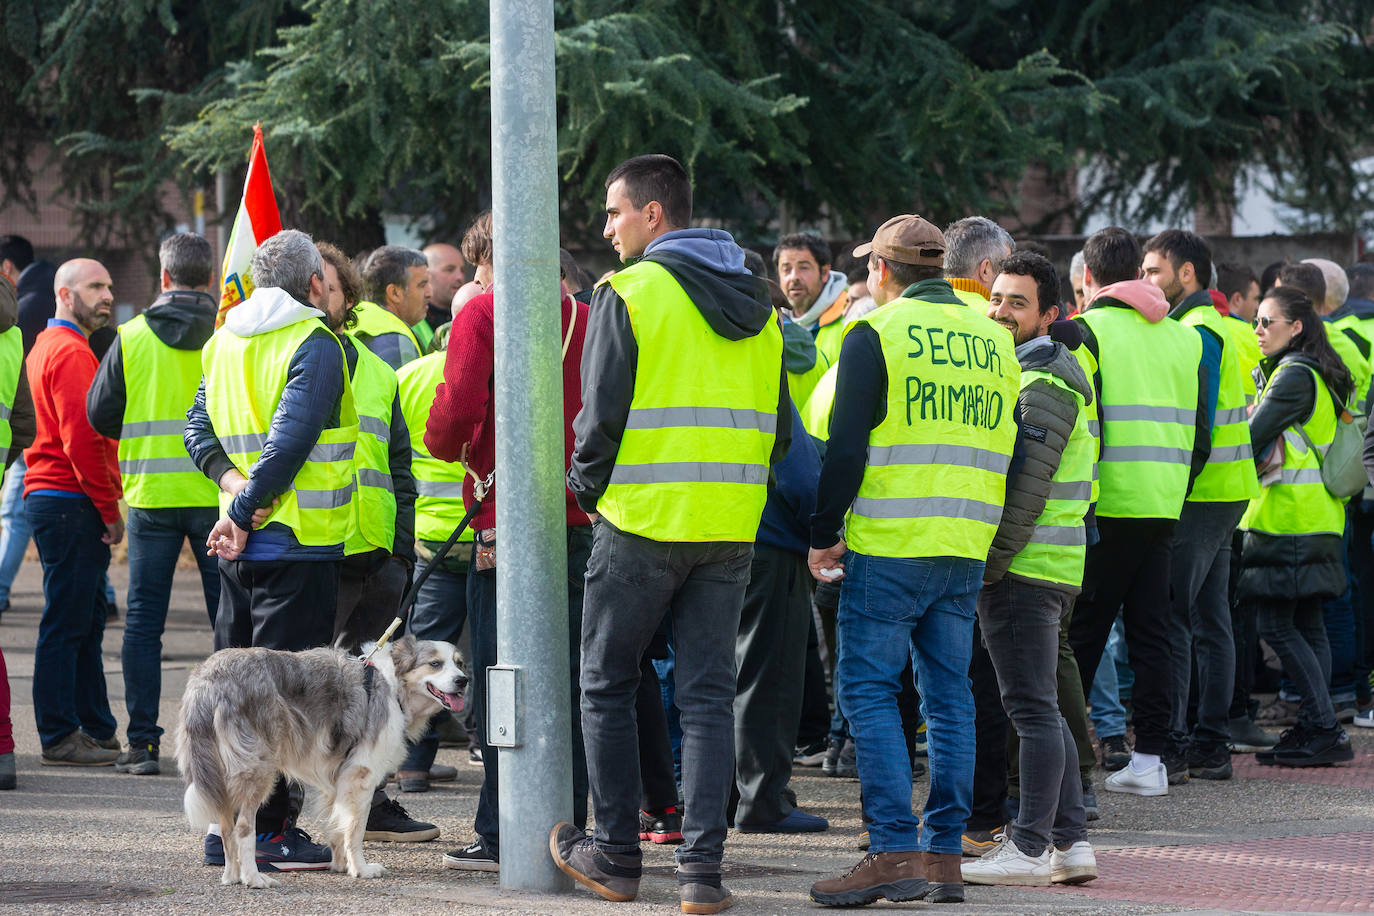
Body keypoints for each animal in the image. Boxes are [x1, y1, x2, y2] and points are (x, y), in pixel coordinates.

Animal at [175, 637, 467, 889]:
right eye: (435, 663)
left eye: (460, 663)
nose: (463, 680)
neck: (392, 683)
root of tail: (208, 678)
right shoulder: (360, 775)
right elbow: (355, 830)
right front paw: (360, 869)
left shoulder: (337, 780)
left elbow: (337, 826)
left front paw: (340, 865)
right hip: (257, 771)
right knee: (243, 829)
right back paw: (253, 878)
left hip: (220, 778)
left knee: (225, 828)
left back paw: (232, 876)